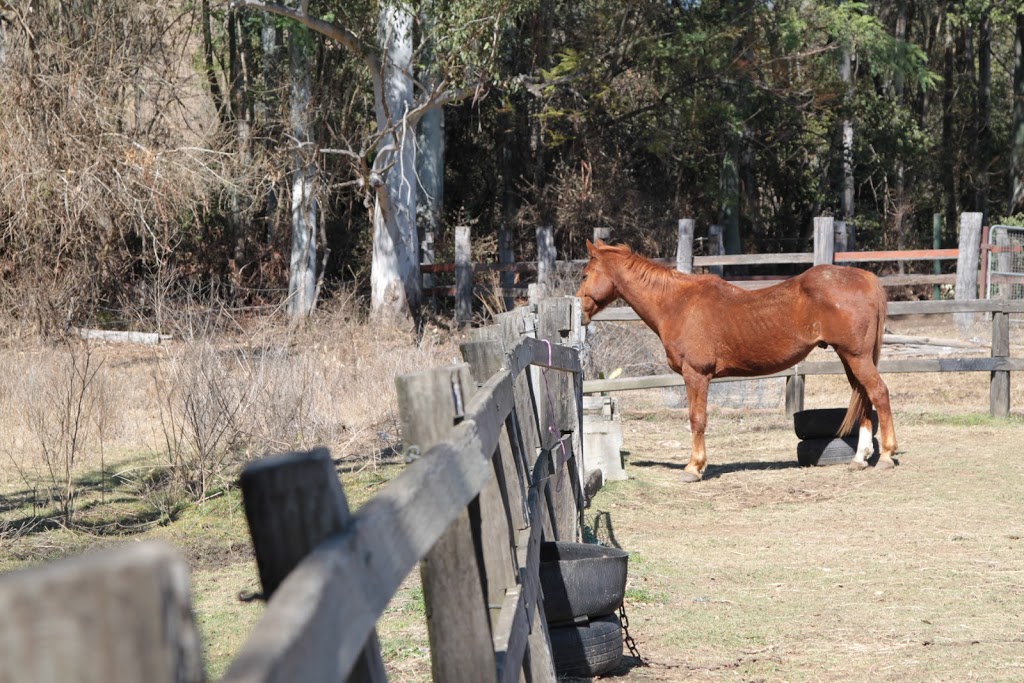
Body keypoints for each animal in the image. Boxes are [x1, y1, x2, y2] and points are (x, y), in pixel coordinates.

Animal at [577, 242, 897, 483]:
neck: (677, 304)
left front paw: (694, 468)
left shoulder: (696, 375)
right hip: (850, 357)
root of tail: (864, 278)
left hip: (856, 356)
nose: (579, 309)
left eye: (584, 274)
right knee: (864, 397)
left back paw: (886, 455)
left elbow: (697, 419)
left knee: (879, 393)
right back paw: (859, 458)